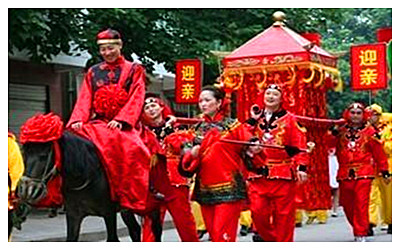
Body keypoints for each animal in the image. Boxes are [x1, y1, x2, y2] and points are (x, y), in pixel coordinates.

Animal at [17, 132, 162, 241]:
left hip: (150, 203)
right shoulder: (74, 215)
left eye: (44, 156)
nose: (25, 189)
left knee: (156, 228)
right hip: (126, 209)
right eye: (24, 153)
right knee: (135, 230)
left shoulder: (109, 213)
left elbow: (112, 238)